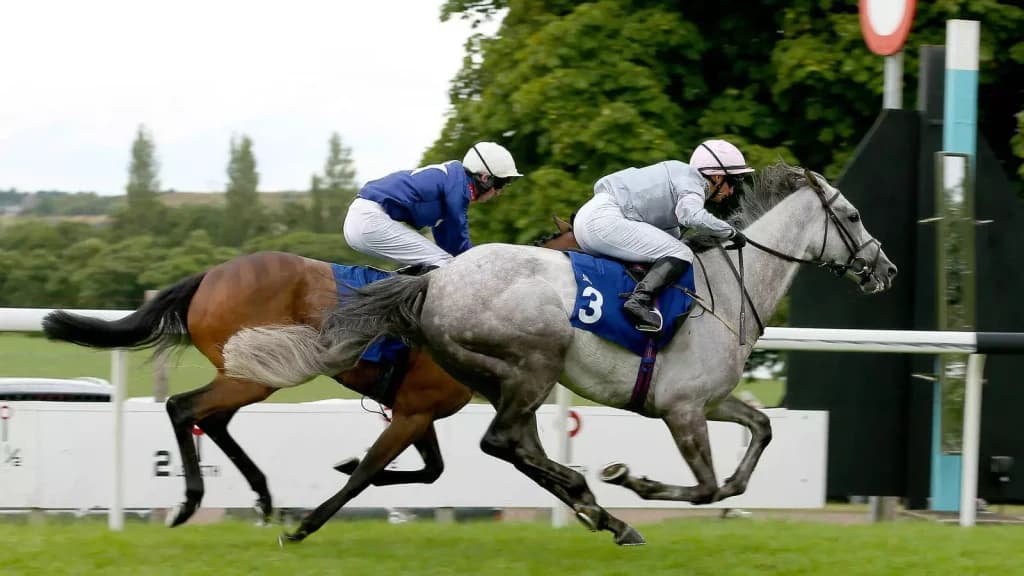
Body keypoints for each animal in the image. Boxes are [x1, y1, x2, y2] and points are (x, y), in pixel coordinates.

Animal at [280, 163, 898, 545]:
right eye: (851, 216)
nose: (886, 269)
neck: (727, 287)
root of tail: (436, 279)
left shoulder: (711, 400)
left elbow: (756, 441)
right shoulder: (681, 408)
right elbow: (703, 487)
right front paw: (633, 481)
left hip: (501, 380)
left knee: (514, 445)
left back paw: (595, 509)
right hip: (535, 362)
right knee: (501, 441)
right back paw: (593, 500)